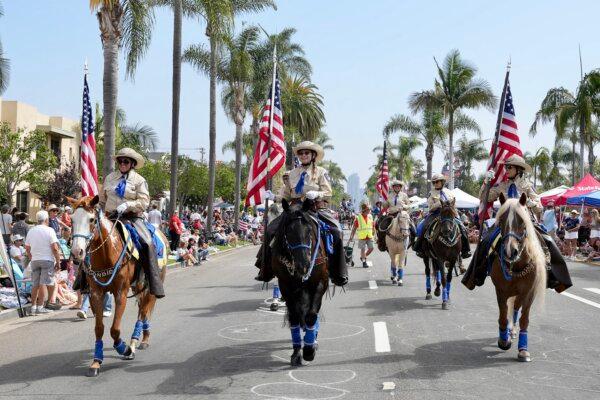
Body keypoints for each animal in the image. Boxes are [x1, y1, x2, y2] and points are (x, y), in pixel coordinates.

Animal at [67, 195, 168, 376]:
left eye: (91, 219)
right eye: (71, 219)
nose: (77, 252)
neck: (107, 253)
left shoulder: (121, 293)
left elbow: (114, 329)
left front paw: (124, 349)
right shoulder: (96, 293)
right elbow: (99, 328)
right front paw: (96, 361)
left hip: (149, 285)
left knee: (143, 311)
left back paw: (136, 342)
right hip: (138, 287)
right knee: (143, 310)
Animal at [270, 198, 328, 368]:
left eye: (309, 230)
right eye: (289, 232)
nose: (304, 265)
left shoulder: (320, 283)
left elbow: (312, 315)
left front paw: (308, 350)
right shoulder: (285, 286)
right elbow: (295, 317)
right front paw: (296, 353)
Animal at [490, 193, 548, 362]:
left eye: (522, 221)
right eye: (501, 220)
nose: (511, 251)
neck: (516, 265)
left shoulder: (529, 292)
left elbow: (524, 319)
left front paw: (523, 350)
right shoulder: (500, 290)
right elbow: (503, 316)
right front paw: (504, 341)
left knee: (516, 307)